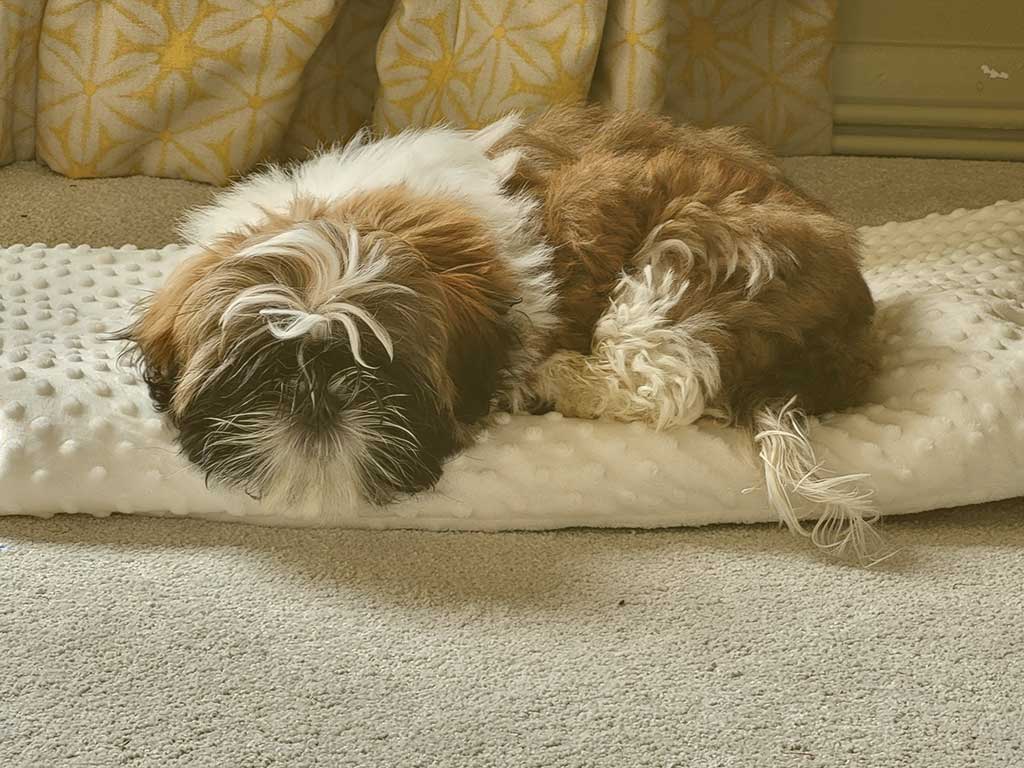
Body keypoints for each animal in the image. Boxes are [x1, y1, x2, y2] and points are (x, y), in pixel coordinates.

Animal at [119, 102, 884, 561]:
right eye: (260, 373)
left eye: (379, 370)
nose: (317, 396)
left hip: (694, 251)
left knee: (664, 377)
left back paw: (560, 379)